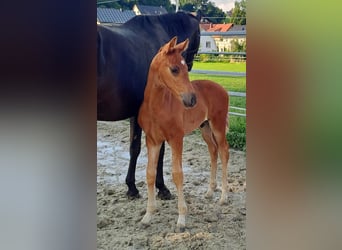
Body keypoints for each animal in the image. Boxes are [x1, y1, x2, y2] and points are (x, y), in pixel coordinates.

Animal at [137, 37, 230, 230]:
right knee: (213, 151)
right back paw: (210, 191)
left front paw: (181, 219)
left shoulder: (176, 139)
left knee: (224, 151)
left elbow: (177, 174)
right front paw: (148, 216)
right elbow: (150, 174)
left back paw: (224, 197)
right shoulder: (152, 140)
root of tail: (223, 89)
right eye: (174, 69)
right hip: (205, 127)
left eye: (186, 68)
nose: (192, 100)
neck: (156, 106)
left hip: (217, 125)